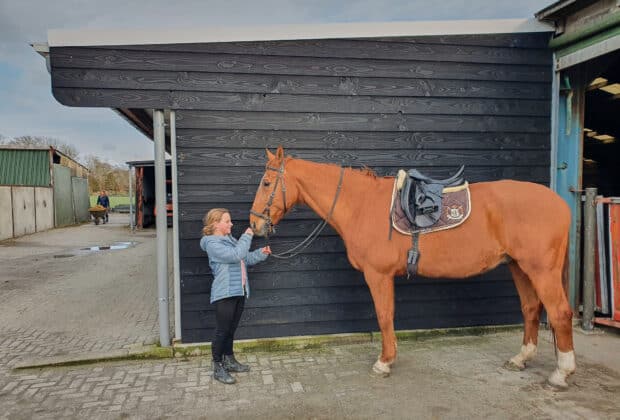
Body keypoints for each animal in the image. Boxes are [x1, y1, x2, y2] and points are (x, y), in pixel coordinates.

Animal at [248, 147, 576, 388]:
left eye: (266, 183)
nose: (255, 224)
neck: (361, 204)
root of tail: (560, 203)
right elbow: (389, 315)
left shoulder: (378, 275)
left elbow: (384, 316)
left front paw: (384, 362)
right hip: (519, 267)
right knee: (531, 309)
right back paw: (521, 359)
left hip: (540, 270)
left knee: (559, 313)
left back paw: (562, 372)